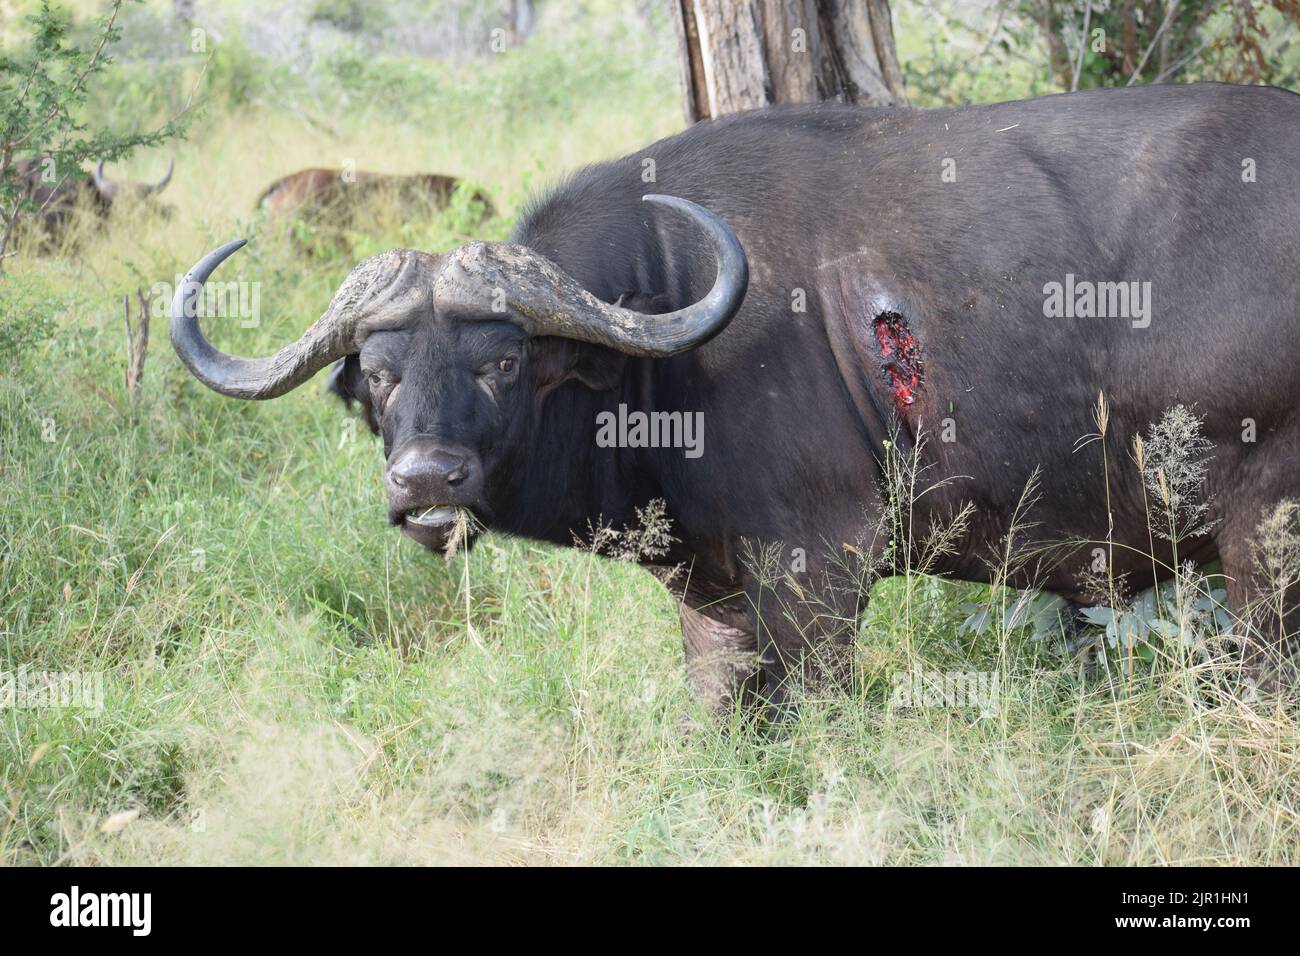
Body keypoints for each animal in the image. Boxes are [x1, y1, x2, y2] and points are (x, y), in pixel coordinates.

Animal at [172, 83, 1300, 712]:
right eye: (378, 372)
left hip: (1263, 538)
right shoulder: (712, 603)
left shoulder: (820, 570)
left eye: (502, 360)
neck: (661, 336)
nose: (424, 482)